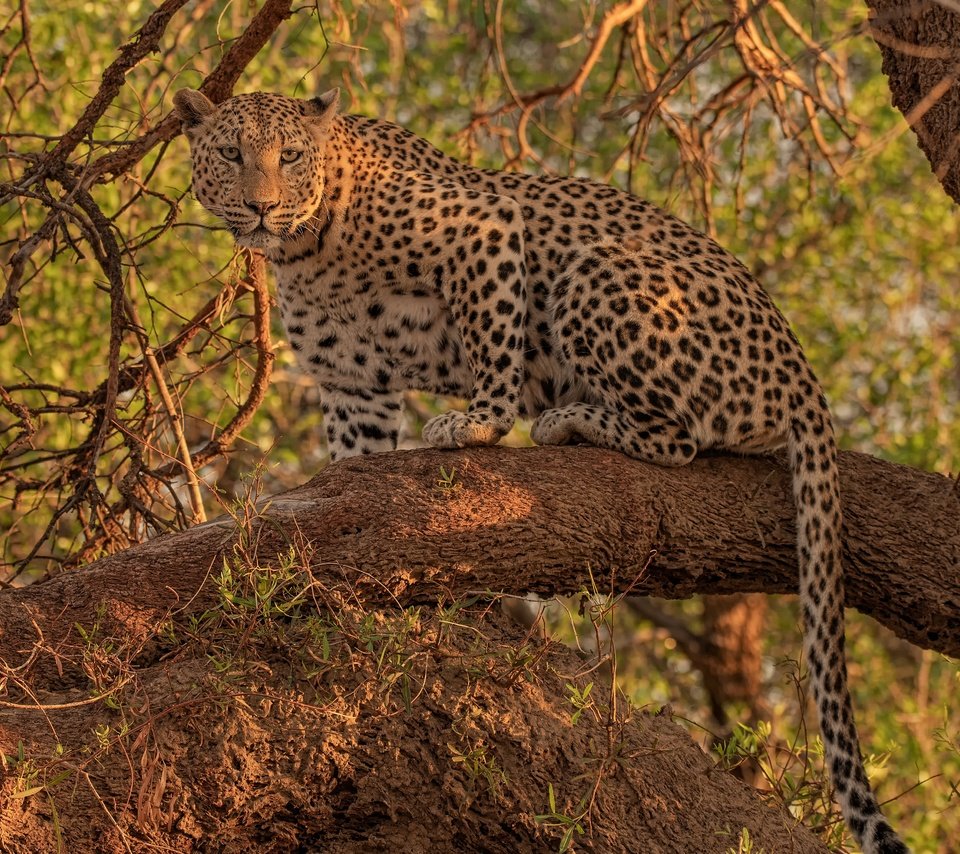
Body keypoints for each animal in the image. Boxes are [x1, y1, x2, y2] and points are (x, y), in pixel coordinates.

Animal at [171, 88, 908, 854]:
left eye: (289, 156)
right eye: (232, 154)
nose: (260, 207)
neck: (307, 248)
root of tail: (805, 379)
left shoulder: (483, 232)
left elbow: (492, 343)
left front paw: (478, 423)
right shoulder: (352, 384)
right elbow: (357, 466)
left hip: (598, 271)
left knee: (679, 437)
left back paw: (568, 421)